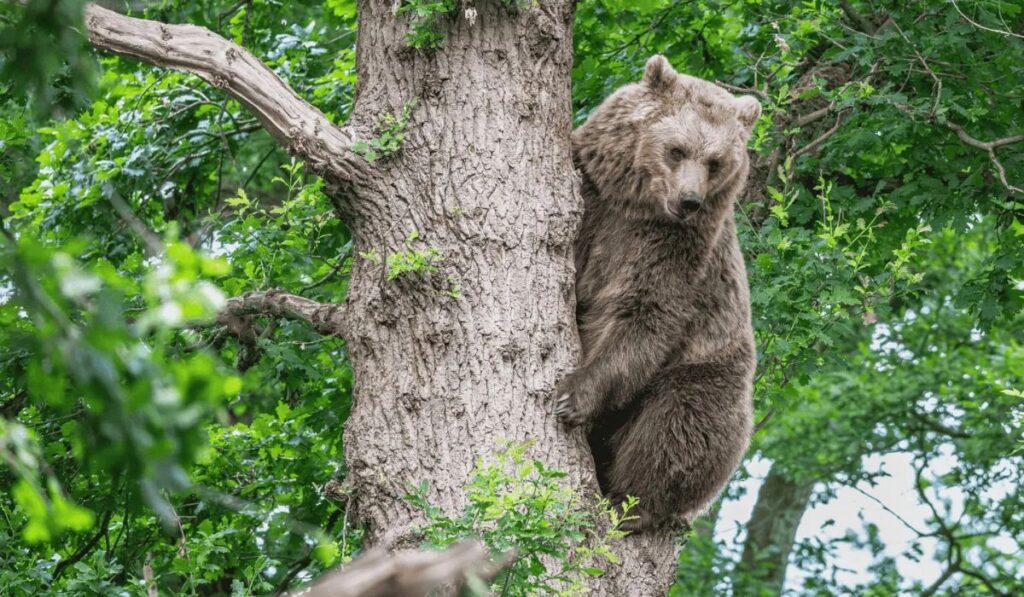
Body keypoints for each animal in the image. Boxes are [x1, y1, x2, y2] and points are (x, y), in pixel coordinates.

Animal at [554, 55, 760, 532]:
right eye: (677, 149)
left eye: (716, 161)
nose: (690, 200)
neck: (635, 206)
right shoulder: (595, 199)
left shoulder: (677, 250)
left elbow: (644, 313)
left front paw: (573, 394)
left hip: (709, 364)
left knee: (680, 424)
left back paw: (632, 504)